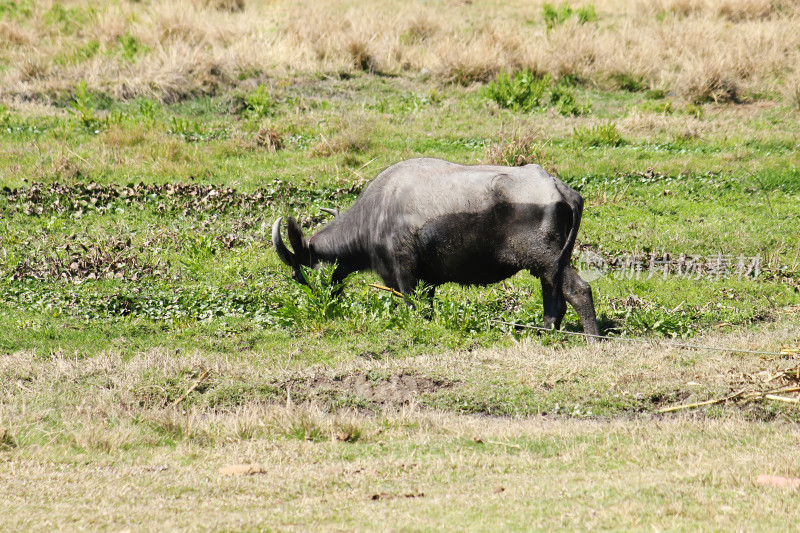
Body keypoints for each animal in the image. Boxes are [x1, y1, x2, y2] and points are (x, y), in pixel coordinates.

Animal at [272, 156, 596, 334]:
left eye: (300, 274)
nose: (320, 303)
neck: (376, 214)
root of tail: (560, 188)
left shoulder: (406, 274)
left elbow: (414, 306)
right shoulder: (426, 282)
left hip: (544, 259)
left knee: (579, 290)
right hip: (549, 266)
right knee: (555, 300)